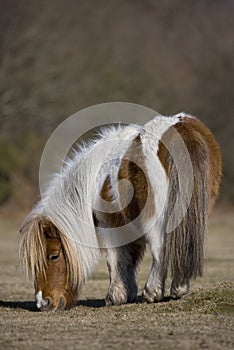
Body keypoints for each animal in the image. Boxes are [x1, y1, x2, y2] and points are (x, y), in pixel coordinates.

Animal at [19, 113, 221, 310]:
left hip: (155, 219)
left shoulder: (107, 225)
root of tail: (181, 127)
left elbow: (115, 259)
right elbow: (129, 259)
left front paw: (115, 296)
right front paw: (128, 292)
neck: (94, 178)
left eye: (53, 256)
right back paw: (178, 288)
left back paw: (153, 292)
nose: (43, 303)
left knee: (160, 249)